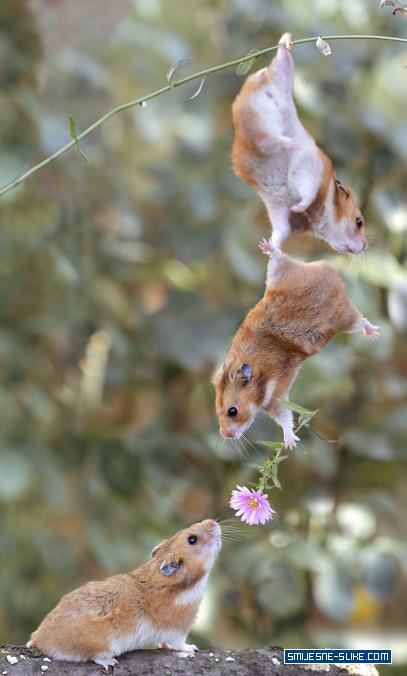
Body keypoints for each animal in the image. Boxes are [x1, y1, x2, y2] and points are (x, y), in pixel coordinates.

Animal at [27, 520, 223, 668]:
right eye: (192, 539)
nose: (213, 522)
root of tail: (39, 639)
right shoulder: (177, 630)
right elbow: (180, 644)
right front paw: (193, 648)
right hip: (102, 643)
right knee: (94, 656)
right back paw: (110, 662)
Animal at [214, 240, 380, 452]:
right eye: (217, 409)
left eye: (232, 411)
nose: (224, 435)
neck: (259, 377)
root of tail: (331, 272)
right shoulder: (273, 401)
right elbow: (285, 417)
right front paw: (291, 444)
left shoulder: (276, 395)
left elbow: (285, 418)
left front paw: (290, 445)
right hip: (279, 274)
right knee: (280, 257)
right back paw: (267, 247)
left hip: (343, 317)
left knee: (361, 321)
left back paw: (374, 334)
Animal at [231, 32, 368, 254]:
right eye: (358, 222)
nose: (365, 246)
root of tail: (261, 81)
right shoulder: (308, 175)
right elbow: (306, 195)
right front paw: (298, 207)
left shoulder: (280, 213)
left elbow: (280, 233)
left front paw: (266, 247)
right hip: (265, 120)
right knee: (269, 140)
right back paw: (292, 143)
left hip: (281, 78)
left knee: (281, 59)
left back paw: (286, 42)